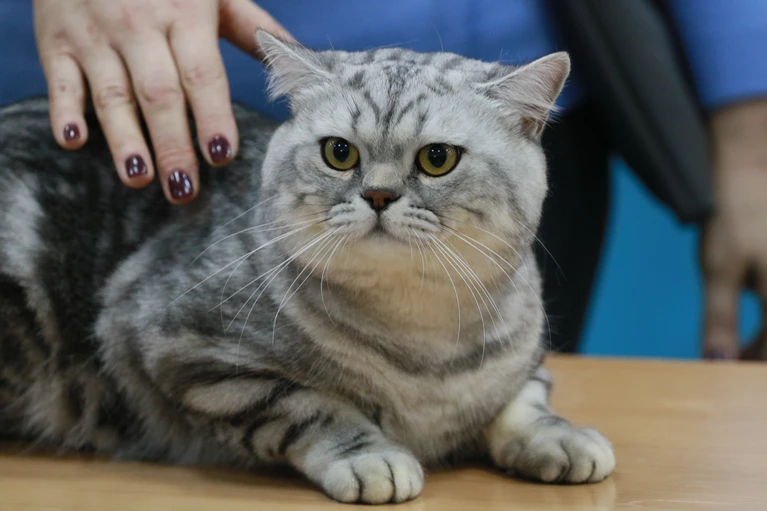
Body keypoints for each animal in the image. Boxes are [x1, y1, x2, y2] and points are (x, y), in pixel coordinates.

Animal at [0, 31, 614, 504]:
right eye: (339, 153)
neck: (424, 347)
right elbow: (313, 406)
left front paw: (559, 437)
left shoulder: (523, 356)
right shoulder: (186, 348)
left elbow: (526, 398)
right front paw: (371, 457)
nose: (378, 195)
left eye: (437, 159)